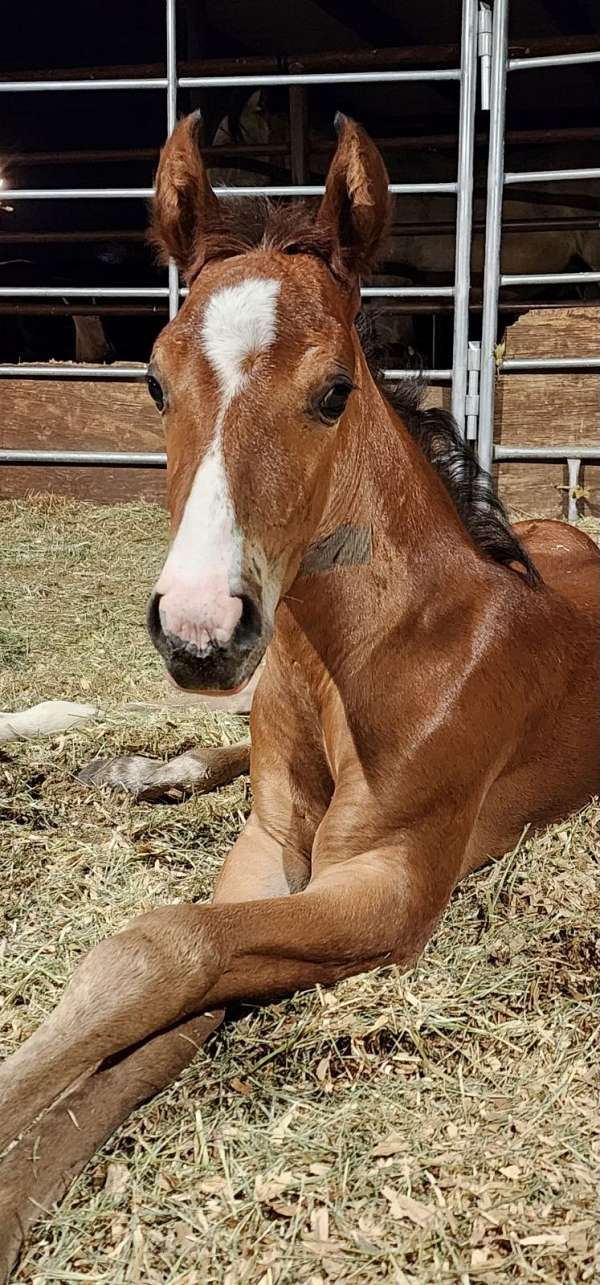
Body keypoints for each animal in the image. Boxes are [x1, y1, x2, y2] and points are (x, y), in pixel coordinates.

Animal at [0, 113, 598, 1274]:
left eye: (334, 389)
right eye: (152, 381)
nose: (199, 631)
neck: (350, 663)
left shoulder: (388, 886)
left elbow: (166, 956)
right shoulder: (267, 847)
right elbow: (151, 979)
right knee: (220, 747)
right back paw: (142, 767)